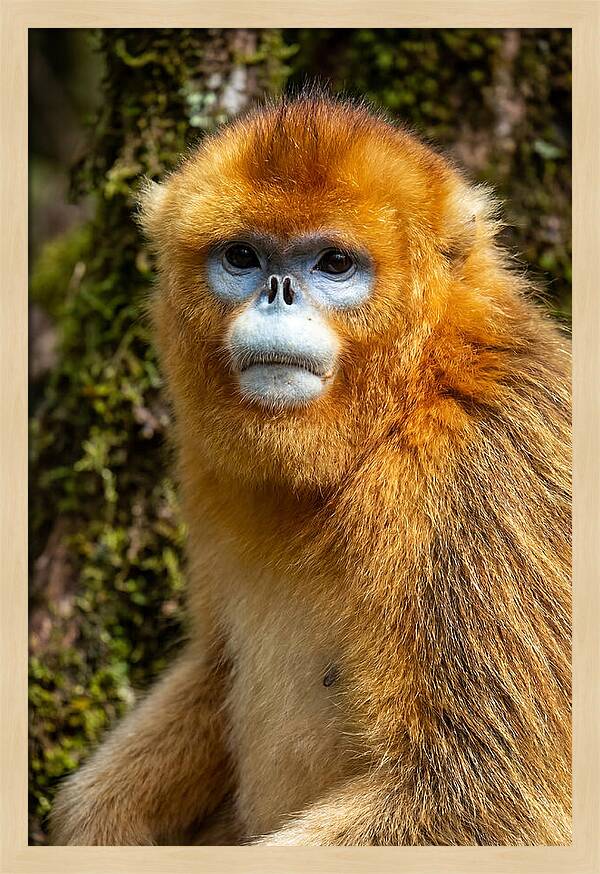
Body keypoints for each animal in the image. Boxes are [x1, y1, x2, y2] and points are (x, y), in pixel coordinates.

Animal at [50, 93, 571, 846]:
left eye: (333, 264)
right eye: (242, 256)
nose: (278, 291)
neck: (406, 404)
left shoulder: (482, 472)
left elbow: (485, 799)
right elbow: (214, 667)